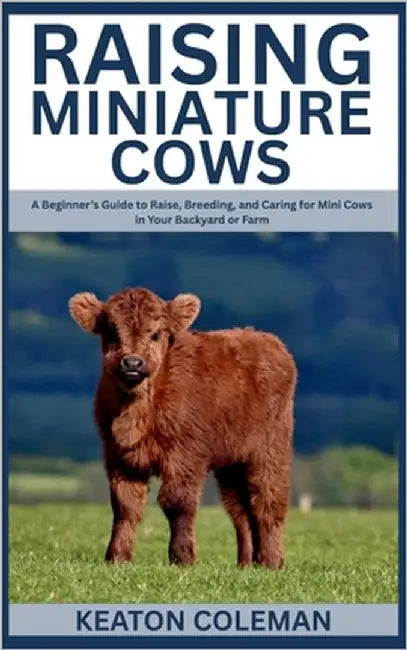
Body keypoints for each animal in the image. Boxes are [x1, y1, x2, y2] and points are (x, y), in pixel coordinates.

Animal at [69, 287, 297, 568]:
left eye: (156, 333)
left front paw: (182, 557)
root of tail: (269, 341)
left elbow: (177, 502)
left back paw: (270, 561)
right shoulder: (119, 458)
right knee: (242, 511)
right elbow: (125, 506)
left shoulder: (185, 456)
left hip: (270, 452)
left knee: (268, 502)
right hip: (232, 464)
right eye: (111, 332)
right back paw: (246, 563)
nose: (132, 363)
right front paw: (117, 557)